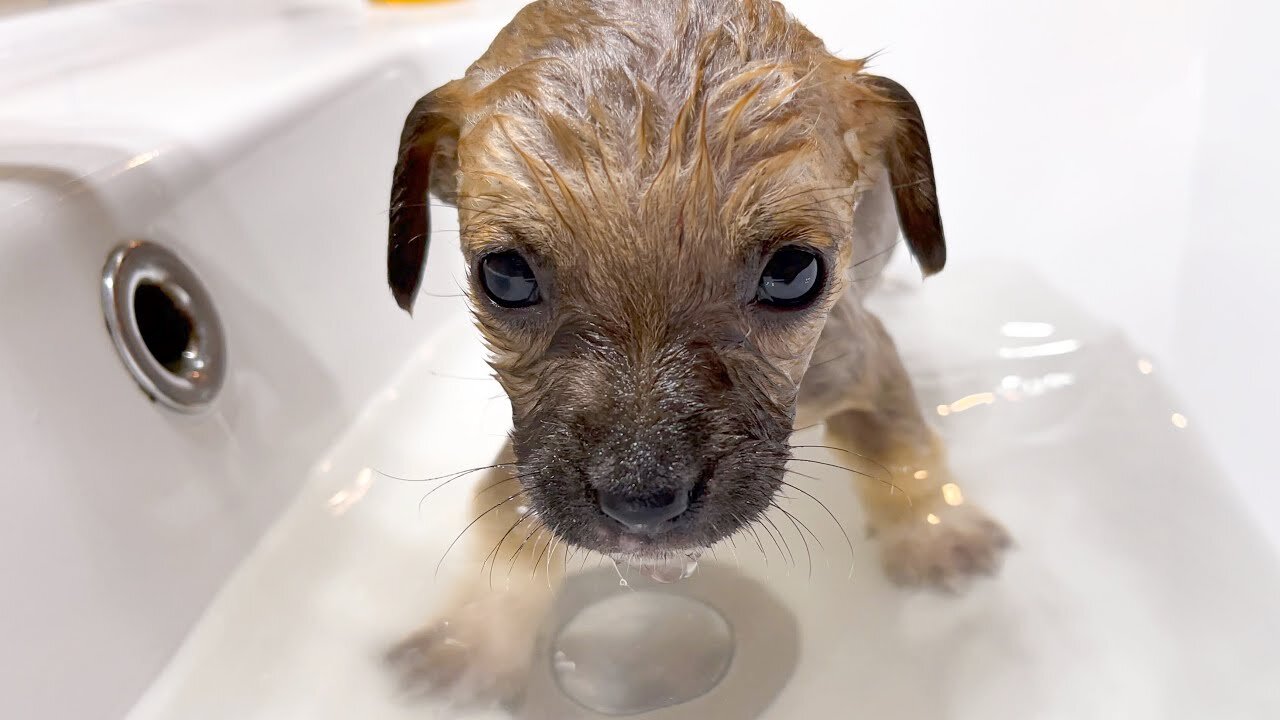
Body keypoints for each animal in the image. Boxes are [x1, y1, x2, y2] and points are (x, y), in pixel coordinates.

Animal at [378, 0, 1008, 702]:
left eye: (794, 271)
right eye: (505, 275)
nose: (641, 500)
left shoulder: (861, 362)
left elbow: (904, 453)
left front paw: (938, 535)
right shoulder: (528, 462)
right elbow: (502, 531)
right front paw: (473, 641)